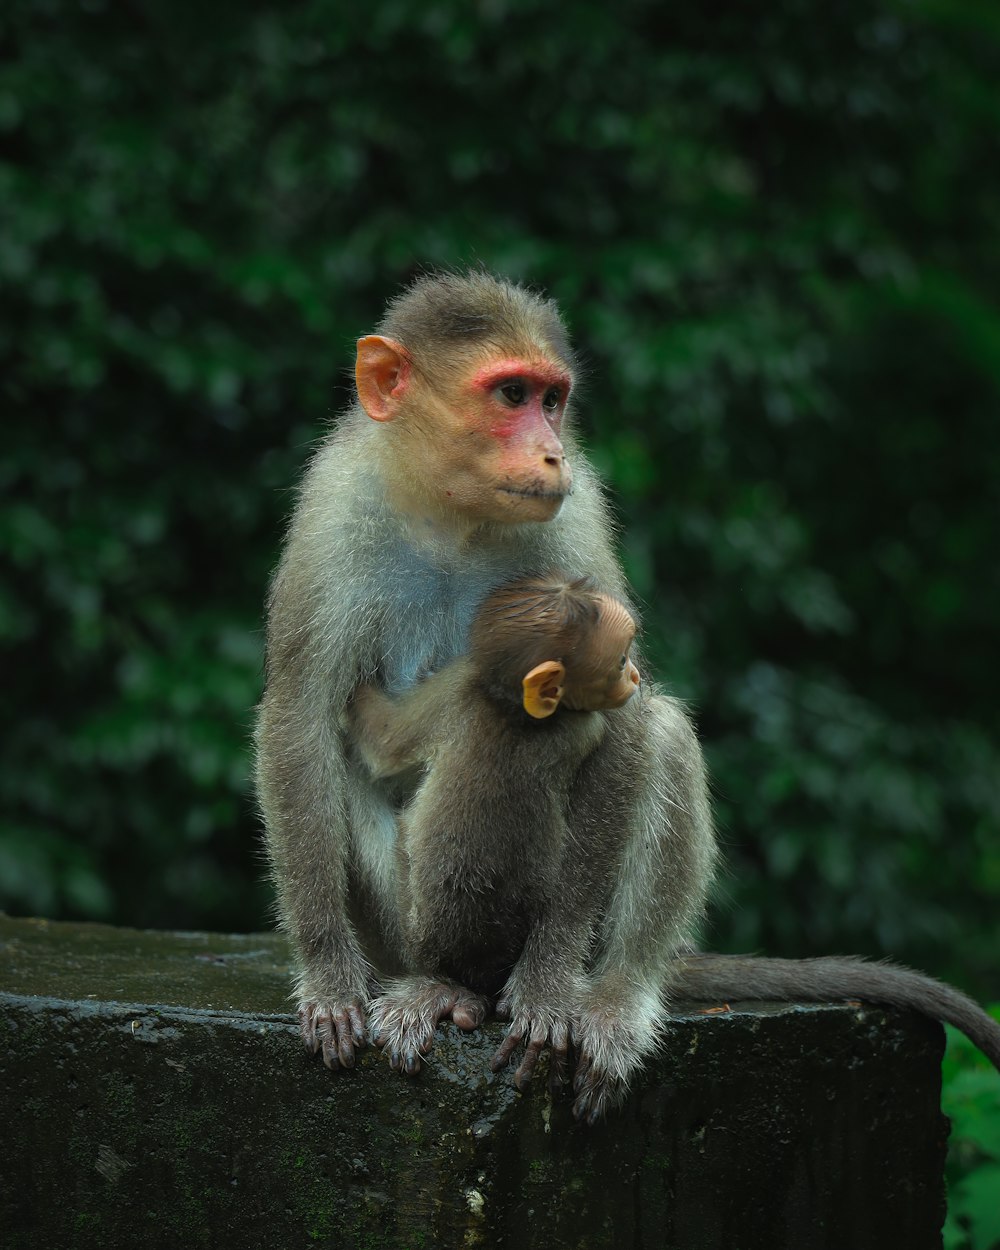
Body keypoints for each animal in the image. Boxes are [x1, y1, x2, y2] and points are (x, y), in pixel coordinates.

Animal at [345, 577, 640, 1085]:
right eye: (621, 661)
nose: (636, 676)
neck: (511, 711)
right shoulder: (468, 690)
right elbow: (383, 741)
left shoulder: (462, 690)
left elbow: (382, 741)